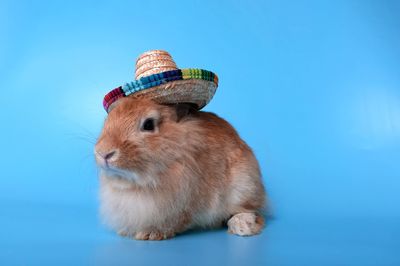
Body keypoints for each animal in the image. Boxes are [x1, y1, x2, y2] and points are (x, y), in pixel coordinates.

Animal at [94, 96, 266, 240]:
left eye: (148, 124)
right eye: (108, 120)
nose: (104, 153)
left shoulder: (183, 203)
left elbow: (175, 221)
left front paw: (151, 233)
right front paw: (125, 231)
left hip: (244, 186)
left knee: (253, 213)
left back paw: (242, 226)